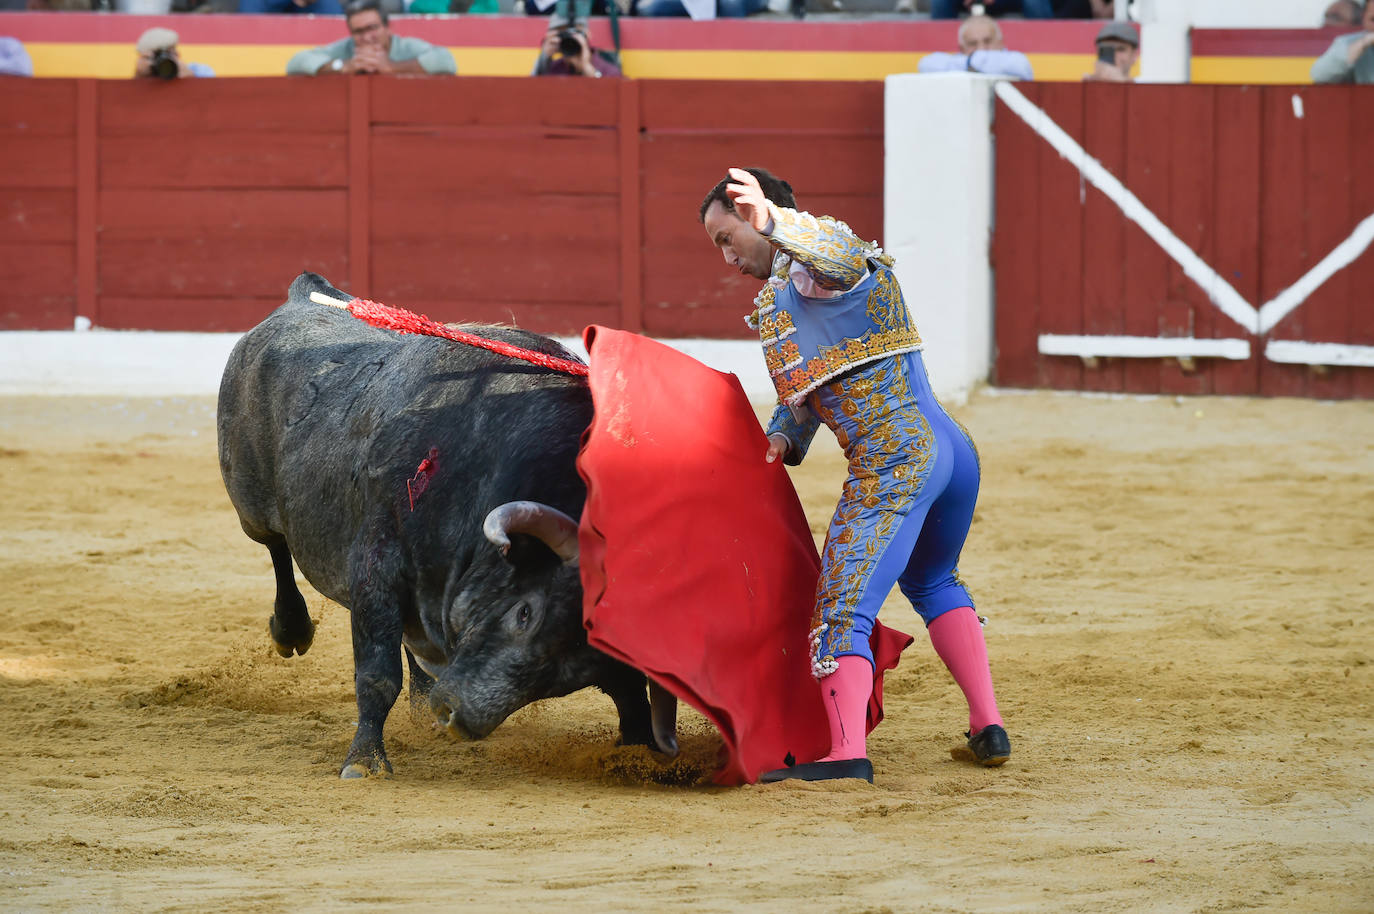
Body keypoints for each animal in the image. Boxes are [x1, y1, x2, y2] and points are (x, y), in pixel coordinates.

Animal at [215, 272, 681, 775]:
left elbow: (628, 690)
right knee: (276, 546)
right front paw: (365, 761)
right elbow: (377, 673)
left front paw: (638, 745)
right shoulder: (377, 561)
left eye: (583, 663)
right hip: (251, 505)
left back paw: (422, 703)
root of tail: (302, 295)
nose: (458, 713)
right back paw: (293, 631)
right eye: (524, 612)